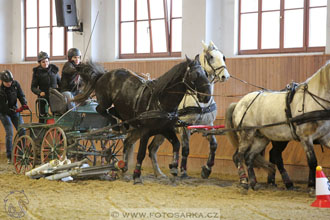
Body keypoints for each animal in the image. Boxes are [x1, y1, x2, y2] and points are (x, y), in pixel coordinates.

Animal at [226, 61, 330, 191]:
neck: (313, 101)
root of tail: (239, 103)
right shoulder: (306, 137)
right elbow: (312, 162)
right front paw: (311, 186)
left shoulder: (325, 137)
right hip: (247, 134)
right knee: (239, 156)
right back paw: (244, 181)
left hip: (262, 138)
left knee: (250, 157)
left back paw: (255, 183)